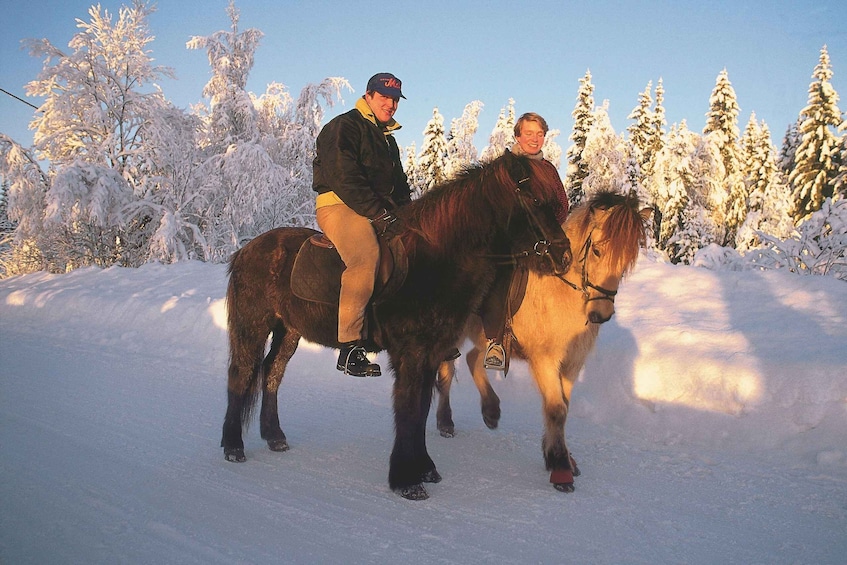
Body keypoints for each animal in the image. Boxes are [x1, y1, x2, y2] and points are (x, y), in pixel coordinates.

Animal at [221, 151, 572, 500]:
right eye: (536, 199)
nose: (564, 256)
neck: (436, 258)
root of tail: (246, 250)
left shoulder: (431, 354)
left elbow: (421, 409)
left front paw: (424, 468)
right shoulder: (411, 353)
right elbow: (407, 408)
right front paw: (406, 479)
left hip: (289, 331)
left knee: (272, 372)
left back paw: (274, 436)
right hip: (252, 326)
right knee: (241, 374)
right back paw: (233, 446)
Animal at [434, 189, 651, 492]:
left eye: (629, 259)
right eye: (597, 250)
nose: (601, 314)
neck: (561, 293)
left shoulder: (571, 364)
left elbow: (562, 406)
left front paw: (559, 455)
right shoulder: (545, 360)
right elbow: (556, 409)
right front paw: (560, 468)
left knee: (472, 358)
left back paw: (491, 411)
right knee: (446, 368)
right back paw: (445, 421)